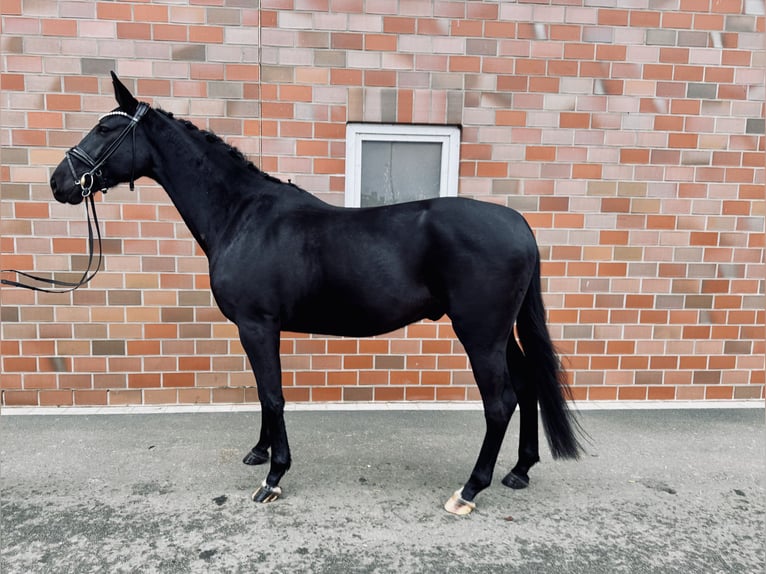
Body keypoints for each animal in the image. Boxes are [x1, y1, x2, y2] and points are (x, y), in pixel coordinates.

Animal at [49, 72, 584, 516]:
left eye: (105, 129)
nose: (59, 182)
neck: (242, 214)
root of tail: (519, 225)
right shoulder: (259, 329)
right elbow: (265, 395)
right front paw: (259, 452)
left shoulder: (257, 325)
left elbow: (273, 395)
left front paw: (273, 477)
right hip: (499, 333)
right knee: (529, 384)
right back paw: (519, 471)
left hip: (480, 334)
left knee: (501, 402)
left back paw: (470, 490)